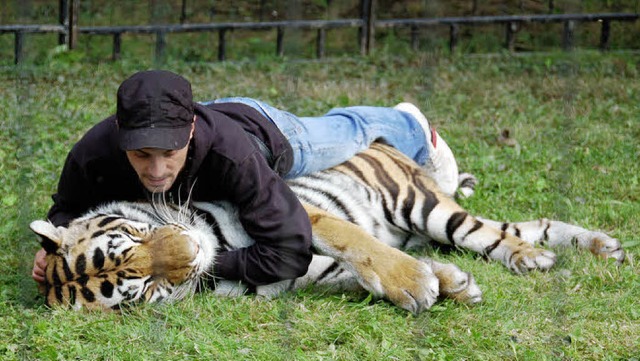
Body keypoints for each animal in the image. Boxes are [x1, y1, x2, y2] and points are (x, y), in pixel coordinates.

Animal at [30, 142, 624, 310]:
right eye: (144, 287)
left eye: (133, 236)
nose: (190, 249)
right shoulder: (298, 277)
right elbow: (350, 277)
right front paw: (450, 282)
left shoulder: (300, 214)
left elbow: (357, 245)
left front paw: (418, 284)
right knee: (529, 224)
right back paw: (602, 246)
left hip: (423, 208)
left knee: (494, 234)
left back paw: (538, 258)